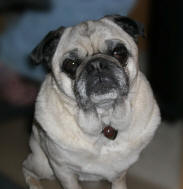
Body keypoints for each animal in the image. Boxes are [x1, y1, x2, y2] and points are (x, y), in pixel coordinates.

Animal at [22, 15, 160, 189]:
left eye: (119, 52)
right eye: (71, 63)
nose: (96, 64)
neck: (105, 120)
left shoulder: (120, 173)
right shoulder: (63, 171)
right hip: (43, 165)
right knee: (27, 169)